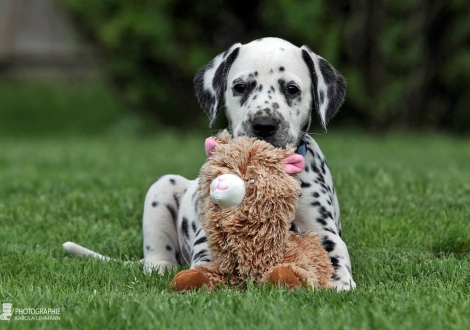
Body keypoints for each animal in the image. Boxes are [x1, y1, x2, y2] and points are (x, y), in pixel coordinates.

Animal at [143, 36, 356, 292]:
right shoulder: (207, 236)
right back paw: (159, 268)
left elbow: (333, 254)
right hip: (162, 188)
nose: (264, 125)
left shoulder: (322, 229)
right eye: (240, 87)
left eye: (291, 89)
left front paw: (340, 283)